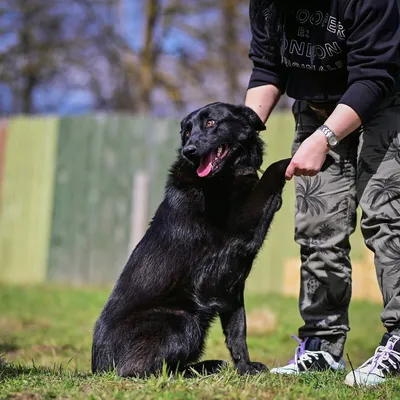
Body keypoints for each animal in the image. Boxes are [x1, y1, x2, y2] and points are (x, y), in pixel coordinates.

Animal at [92, 101, 290, 376]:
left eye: (210, 122)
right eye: (186, 131)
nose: (190, 151)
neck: (222, 177)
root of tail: (99, 366)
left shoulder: (232, 285)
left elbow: (237, 331)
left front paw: (245, 367)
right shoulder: (239, 234)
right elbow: (272, 171)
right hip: (181, 320)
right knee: (142, 370)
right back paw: (202, 368)